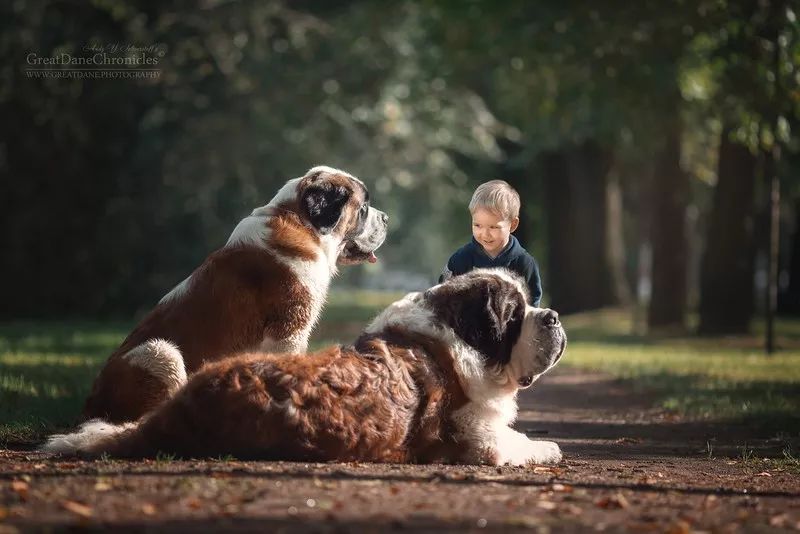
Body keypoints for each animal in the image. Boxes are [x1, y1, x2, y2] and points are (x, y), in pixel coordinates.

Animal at [43, 270, 564, 466]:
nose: (553, 316)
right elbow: (520, 443)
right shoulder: (480, 439)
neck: (451, 336)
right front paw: (549, 446)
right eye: (514, 316)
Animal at [81, 165, 388, 426]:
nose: (386, 218)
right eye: (363, 208)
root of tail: (91, 402)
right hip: (159, 352)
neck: (300, 223)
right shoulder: (288, 332)